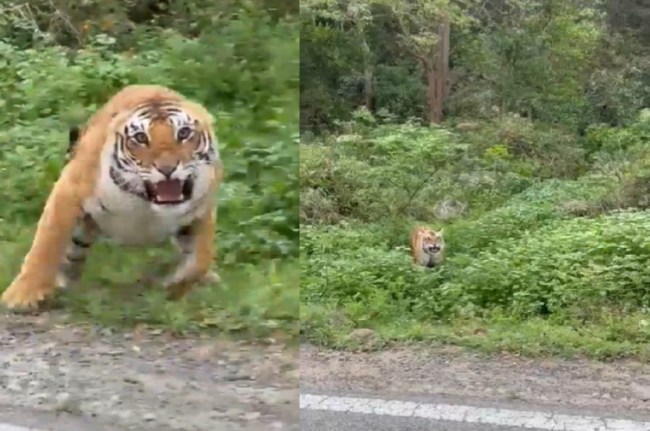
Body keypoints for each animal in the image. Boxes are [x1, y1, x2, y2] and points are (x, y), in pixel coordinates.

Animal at [1, 84, 223, 310]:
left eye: (184, 133)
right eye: (141, 138)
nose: (167, 168)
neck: (146, 204)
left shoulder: (203, 208)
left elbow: (202, 257)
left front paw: (177, 284)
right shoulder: (69, 190)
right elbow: (46, 244)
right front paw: (21, 296)